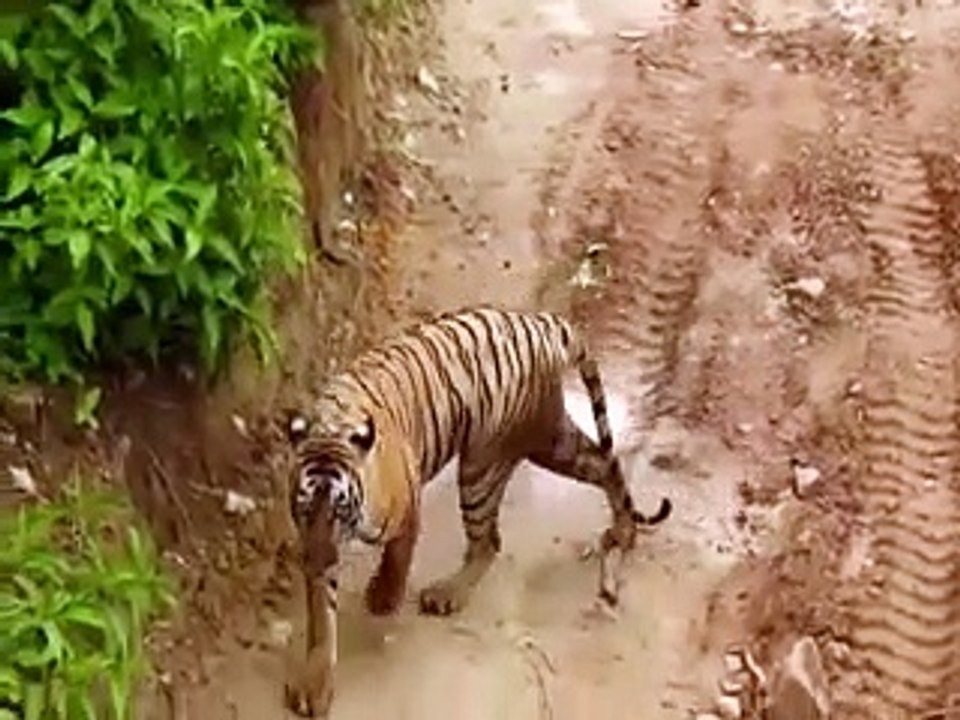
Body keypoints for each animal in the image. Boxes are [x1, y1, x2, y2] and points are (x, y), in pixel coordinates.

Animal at [283, 306, 673, 717]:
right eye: (305, 507)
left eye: (340, 510)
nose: (317, 560)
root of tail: (543, 323)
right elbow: (322, 619)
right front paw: (314, 684)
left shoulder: (406, 510)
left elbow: (397, 559)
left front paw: (383, 597)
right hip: (550, 439)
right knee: (604, 463)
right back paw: (623, 532)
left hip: (483, 465)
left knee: (489, 541)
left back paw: (447, 593)